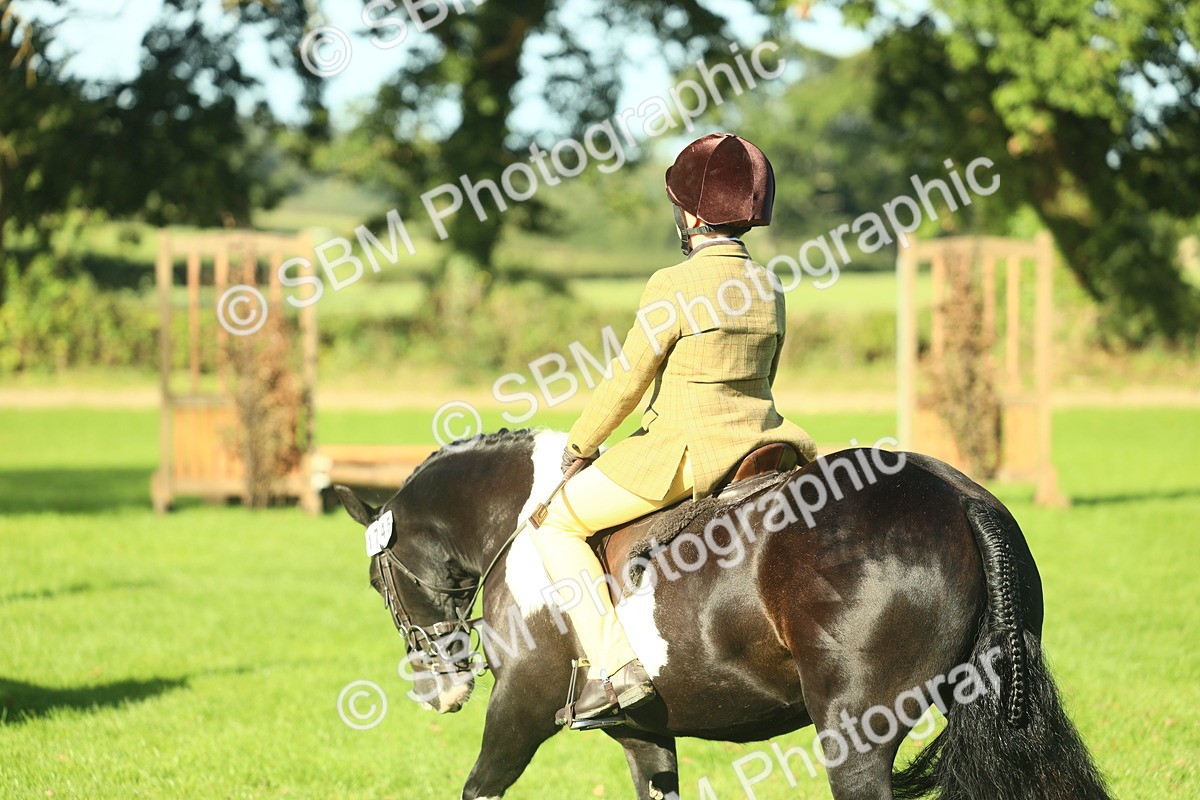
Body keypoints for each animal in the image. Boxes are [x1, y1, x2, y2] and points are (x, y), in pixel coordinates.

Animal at [333, 428, 1110, 800]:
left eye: (377, 581)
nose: (437, 688)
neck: (519, 522)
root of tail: (956, 493)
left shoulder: (520, 706)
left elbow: (479, 786)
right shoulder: (644, 732)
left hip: (855, 733)